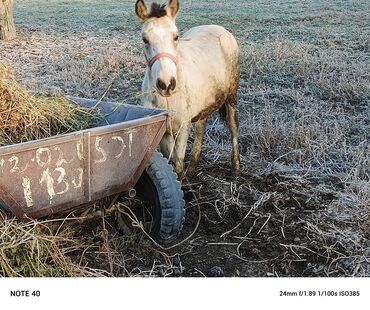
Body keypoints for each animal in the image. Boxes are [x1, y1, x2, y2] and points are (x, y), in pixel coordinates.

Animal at [134, 0, 241, 177]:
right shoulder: (163, 130)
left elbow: (177, 164)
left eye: (176, 36)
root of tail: (221, 29)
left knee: (233, 126)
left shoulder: (183, 126)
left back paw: (236, 167)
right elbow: (170, 162)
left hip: (231, 95)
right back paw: (193, 167)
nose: (166, 84)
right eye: (145, 39)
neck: (167, 100)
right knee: (201, 126)